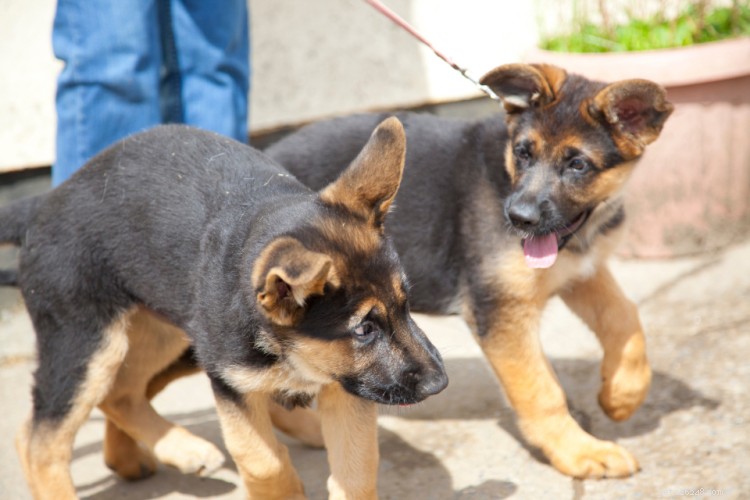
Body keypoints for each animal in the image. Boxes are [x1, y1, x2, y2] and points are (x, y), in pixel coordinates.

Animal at [0, 118, 446, 500]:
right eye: (364, 329)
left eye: (405, 304)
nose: (438, 385)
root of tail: (47, 199)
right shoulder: (231, 381)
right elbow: (262, 459)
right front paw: (282, 489)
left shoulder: (347, 387)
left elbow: (356, 470)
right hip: (88, 342)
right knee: (40, 441)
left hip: (162, 327)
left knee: (120, 393)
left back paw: (165, 453)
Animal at [268, 64, 680, 478]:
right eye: (523, 153)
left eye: (577, 164)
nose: (518, 218)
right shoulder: (499, 310)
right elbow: (541, 390)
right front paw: (579, 451)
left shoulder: (580, 272)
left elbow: (624, 317)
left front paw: (622, 395)